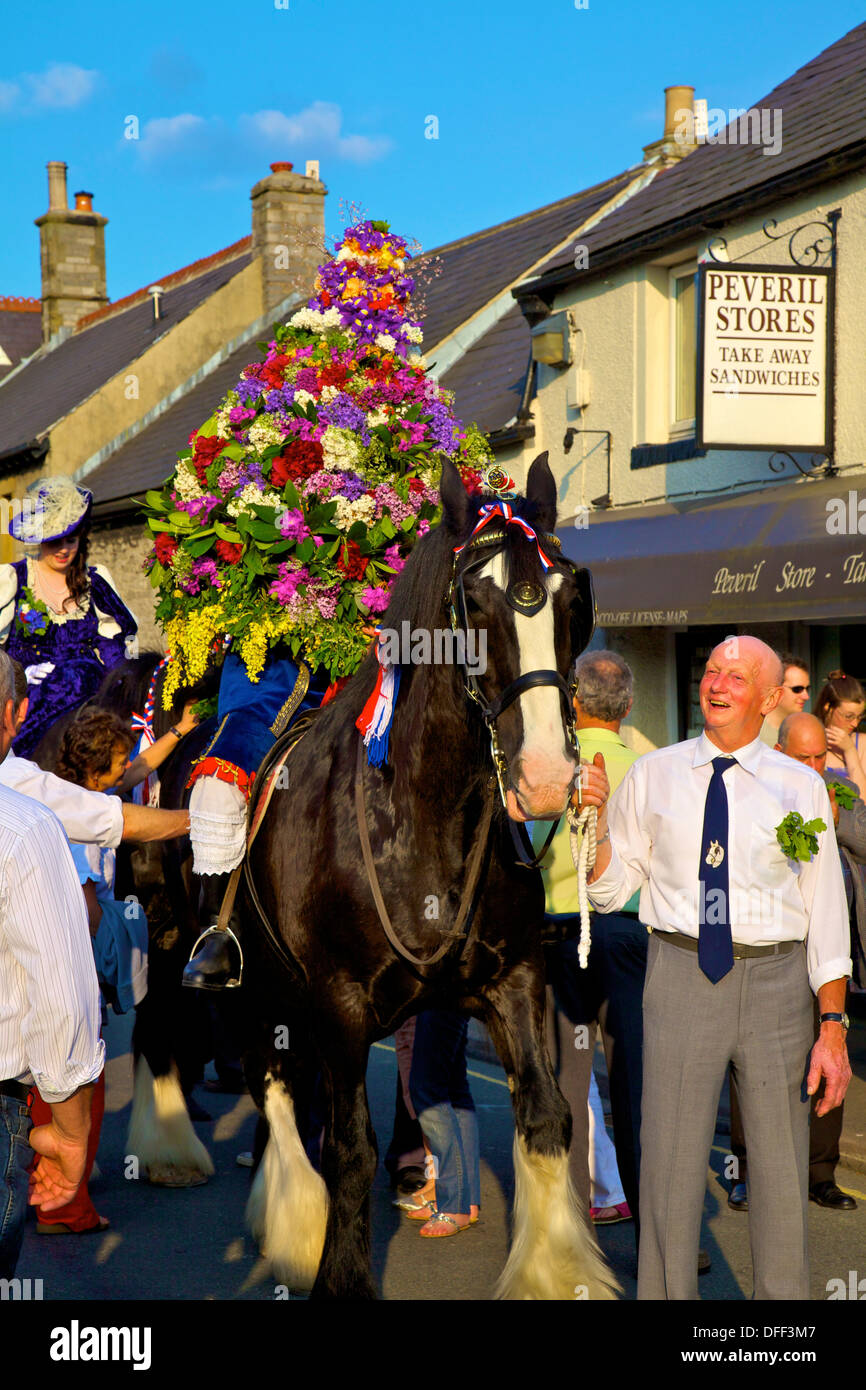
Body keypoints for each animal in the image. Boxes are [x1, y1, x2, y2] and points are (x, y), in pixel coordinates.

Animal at [237, 458, 617, 1301]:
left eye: (574, 596)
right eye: (473, 601)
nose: (546, 779)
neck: (419, 815)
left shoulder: (515, 979)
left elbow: (546, 1119)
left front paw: (555, 1270)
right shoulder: (337, 1000)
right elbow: (348, 1148)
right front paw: (339, 1274)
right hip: (256, 988)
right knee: (274, 1087)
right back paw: (295, 1223)